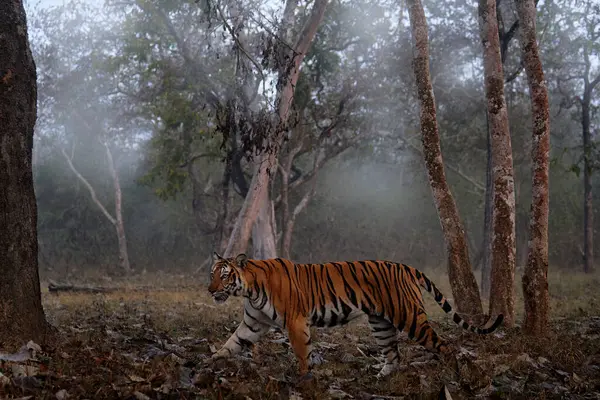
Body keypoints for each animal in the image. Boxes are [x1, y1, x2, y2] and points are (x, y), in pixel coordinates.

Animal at [206, 253, 502, 382]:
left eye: (224, 275)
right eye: (212, 274)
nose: (209, 290)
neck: (250, 288)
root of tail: (406, 267)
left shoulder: (295, 321)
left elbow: (302, 352)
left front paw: (303, 378)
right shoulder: (253, 324)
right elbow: (231, 343)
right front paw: (210, 362)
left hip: (411, 319)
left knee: (445, 346)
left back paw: (454, 375)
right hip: (381, 323)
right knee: (393, 355)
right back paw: (381, 377)